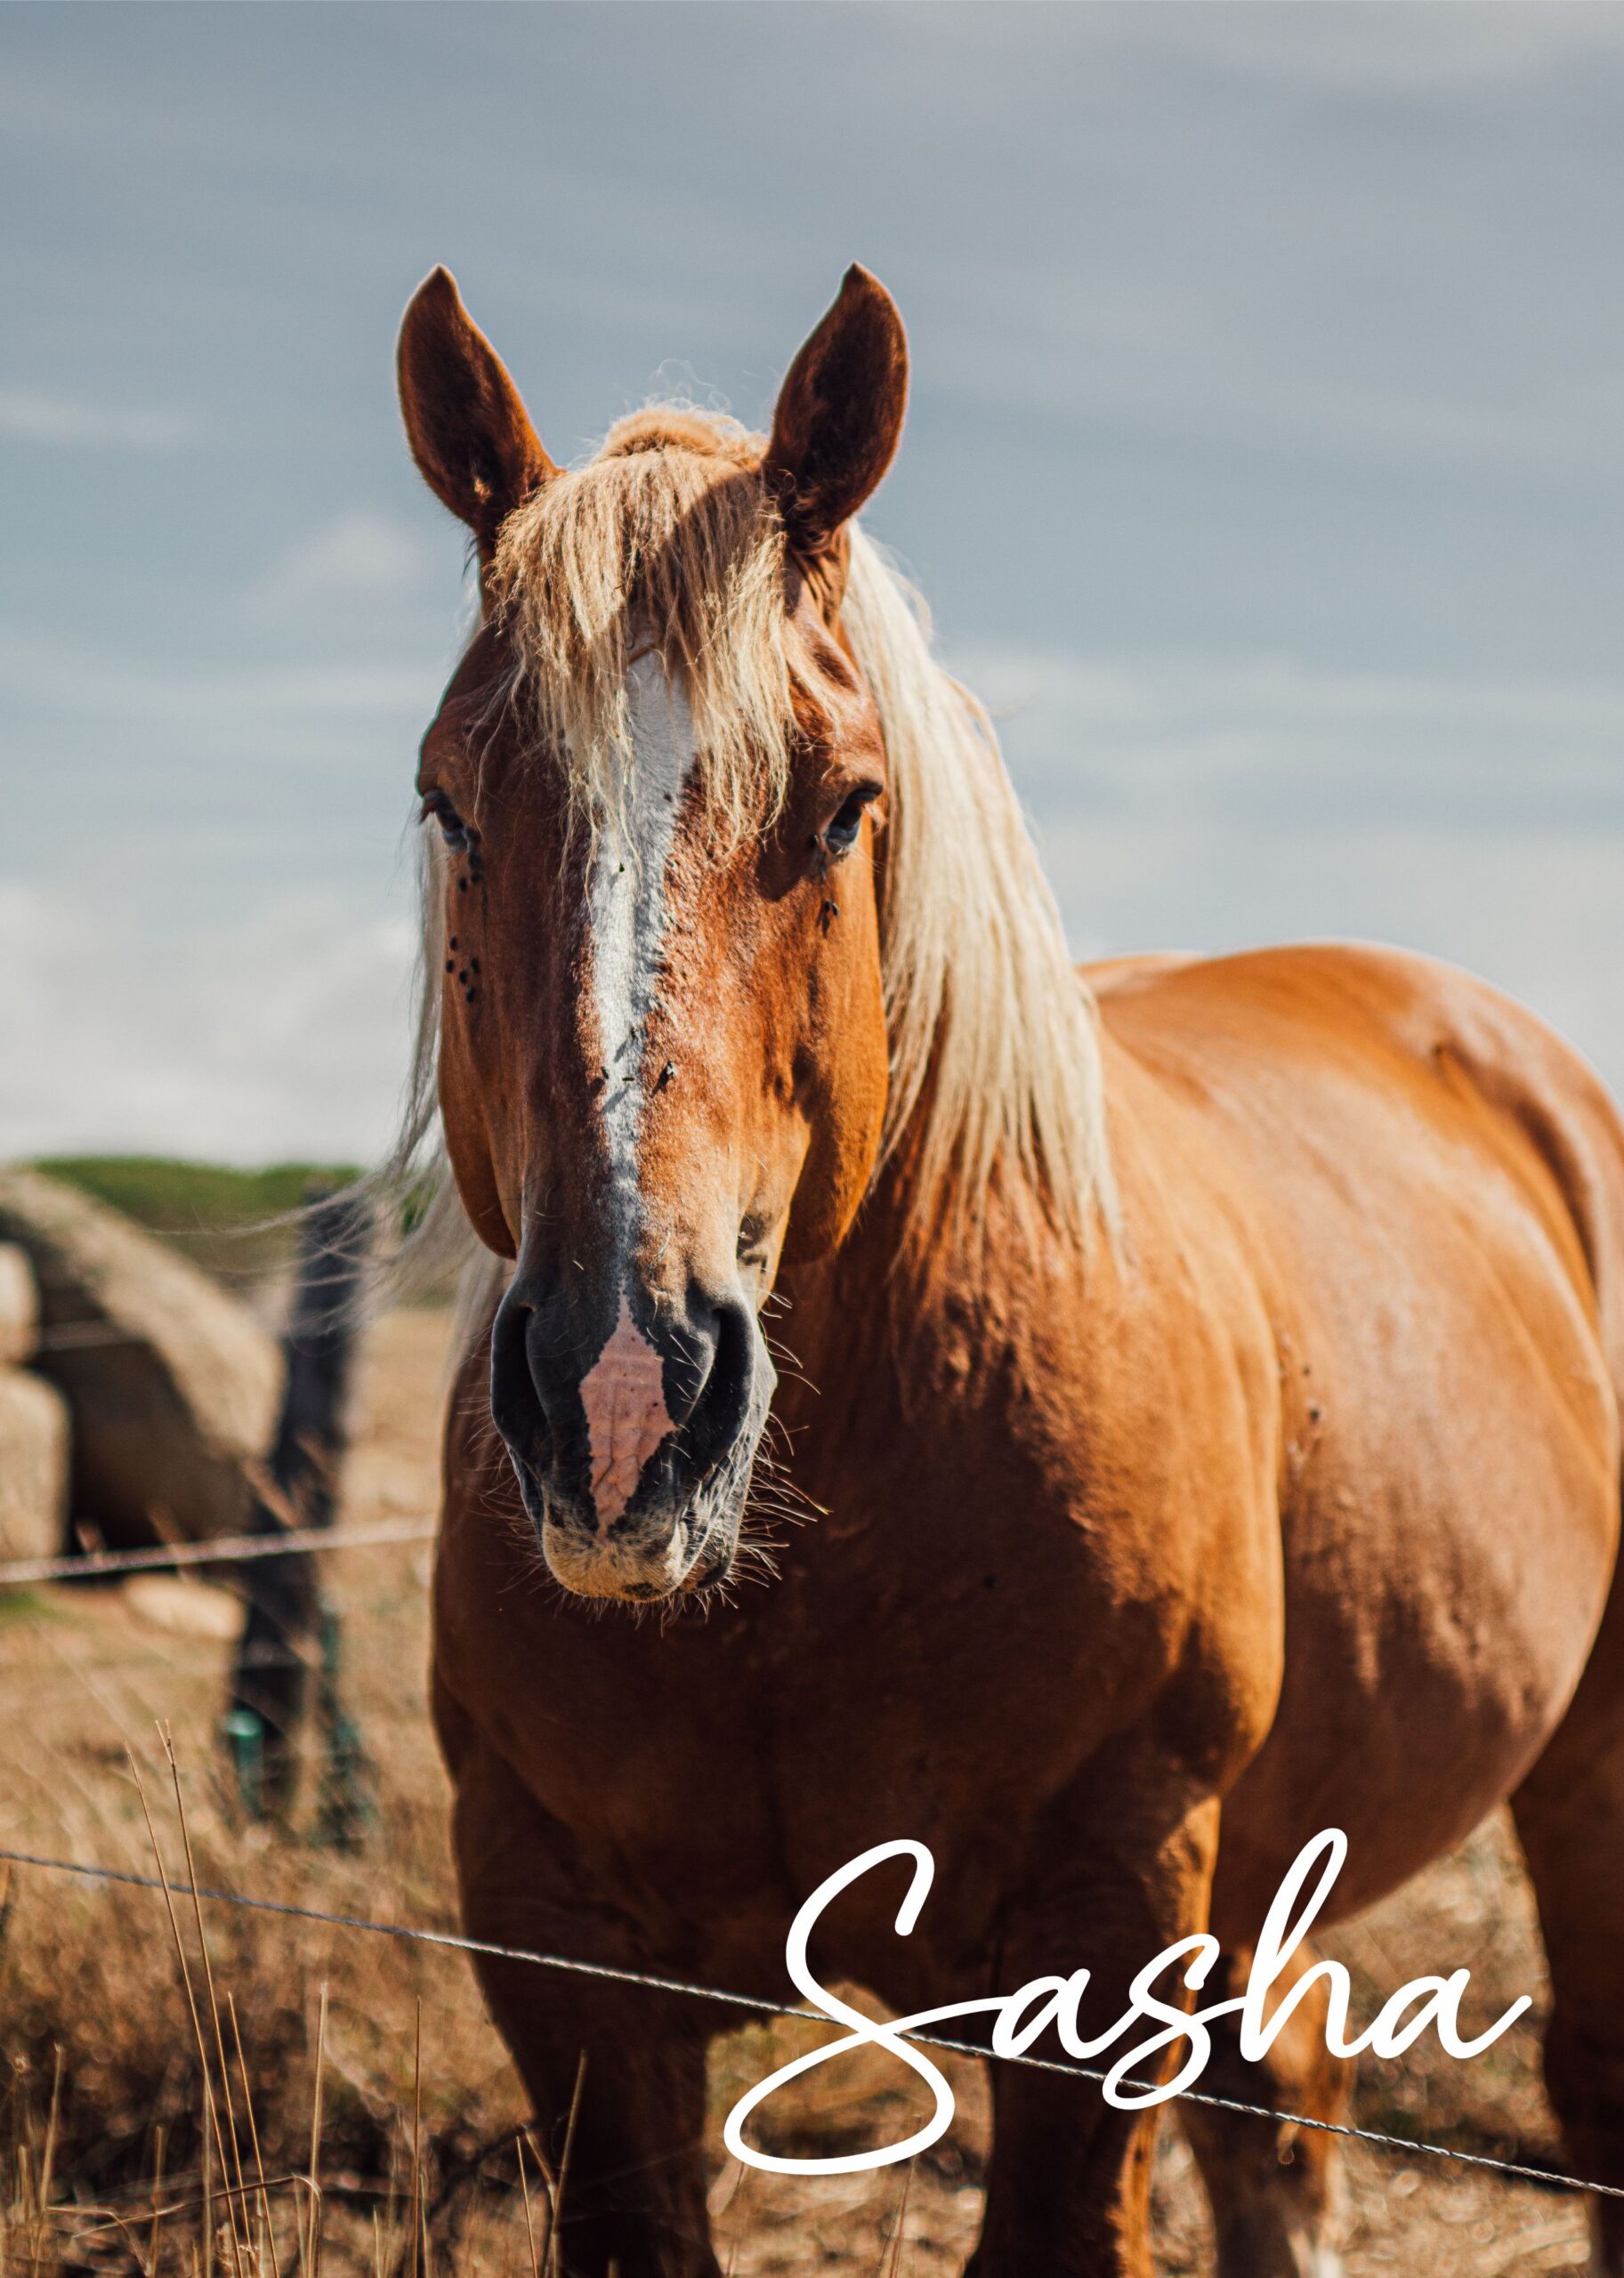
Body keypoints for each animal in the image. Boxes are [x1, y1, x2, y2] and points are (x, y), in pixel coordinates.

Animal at [393, 262, 1624, 2277]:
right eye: (450, 804)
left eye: (839, 805)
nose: (622, 1399)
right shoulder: (559, 1955)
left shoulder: (1104, 1935)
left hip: (1578, 1772)